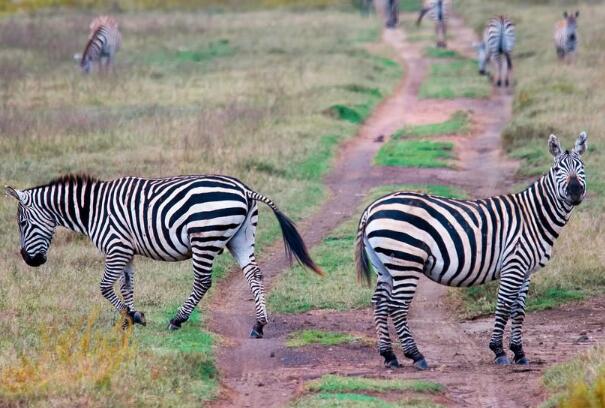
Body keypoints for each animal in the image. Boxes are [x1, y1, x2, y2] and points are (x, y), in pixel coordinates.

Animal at [4, 174, 324, 336]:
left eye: (22, 223)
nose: (29, 260)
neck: (91, 209)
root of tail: (245, 190)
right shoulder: (127, 250)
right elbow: (127, 285)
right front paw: (130, 317)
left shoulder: (116, 246)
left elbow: (105, 287)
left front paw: (132, 316)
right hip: (241, 238)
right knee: (254, 275)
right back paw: (258, 325)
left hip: (205, 238)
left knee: (202, 282)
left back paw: (177, 320)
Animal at [356, 132, 588, 368]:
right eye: (557, 169)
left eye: (581, 166)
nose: (575, 191)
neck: (532, 216)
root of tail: (372, 208)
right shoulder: (513, 264)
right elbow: (504, 305)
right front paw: (499, 350)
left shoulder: (526, 271)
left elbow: (519, 310)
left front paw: (519, 353)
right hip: (406, 263)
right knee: (397, 306)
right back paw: (416, 355)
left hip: (384, 266)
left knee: (380, 304)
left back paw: (389, 356)